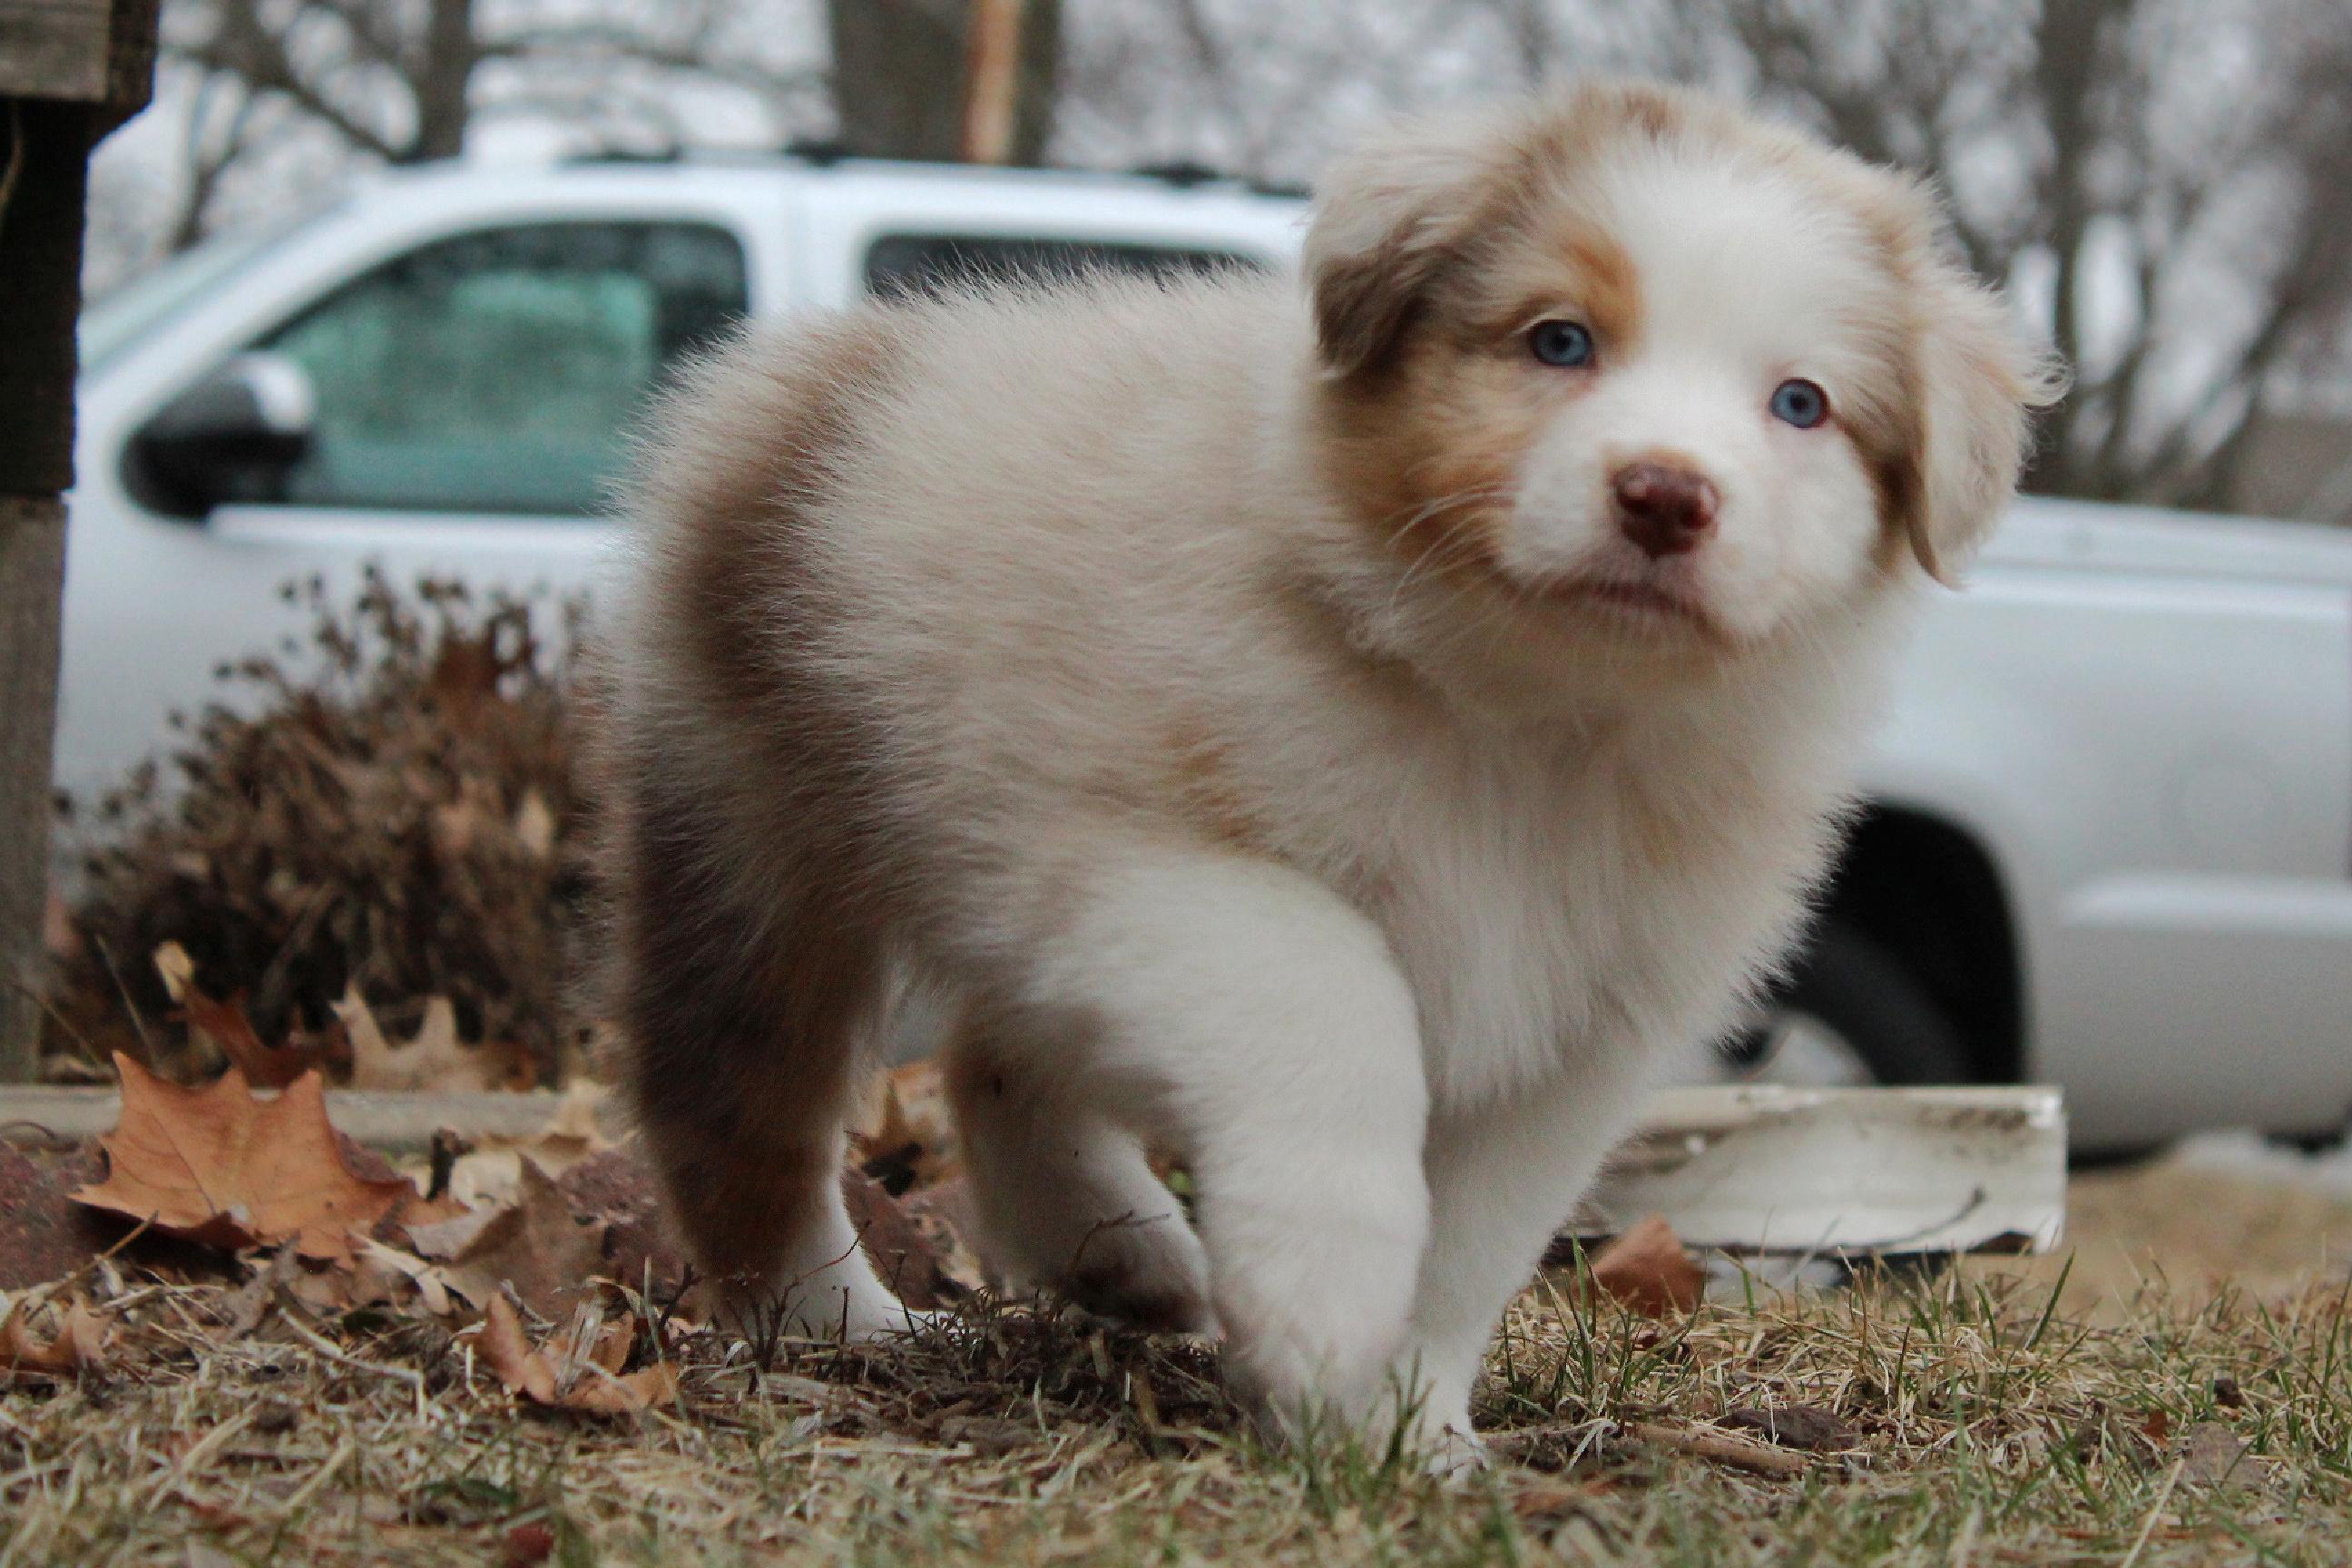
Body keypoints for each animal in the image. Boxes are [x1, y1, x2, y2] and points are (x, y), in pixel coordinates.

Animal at [599, 78, 2056, 1457]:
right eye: (1560, 340)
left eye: (1800, 404)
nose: (1664, 495)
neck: (1529, 716)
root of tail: (809, 363)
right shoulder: (1127, 853)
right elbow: (1337, 996)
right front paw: (1324, 1290)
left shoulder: (1587, 1020)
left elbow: (1475, 1240)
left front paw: (1406, 1433)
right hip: (759, 827)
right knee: (737, 1101)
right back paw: (840, 1317)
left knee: (996, 1062)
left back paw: (1119, 1252)